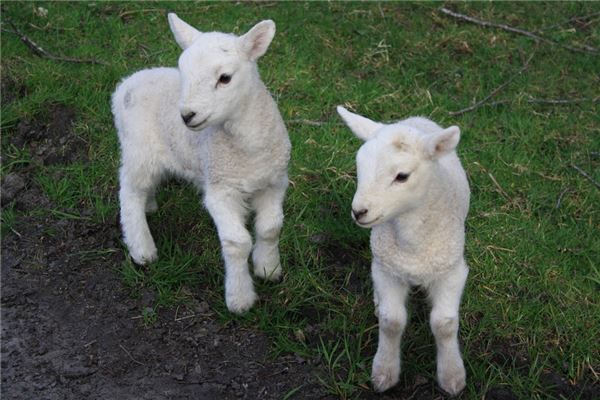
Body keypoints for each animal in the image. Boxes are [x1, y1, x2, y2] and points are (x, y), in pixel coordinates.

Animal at [111, 14, 291, 314]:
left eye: (225, 78)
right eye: (183, 72)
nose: (187, 115)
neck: (248, 147)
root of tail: (126, 82)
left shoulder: (275, 182)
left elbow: (270, 228)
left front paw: (269, 268)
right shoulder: (220, 189)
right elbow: (237, 242)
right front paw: (239, 298)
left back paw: (150, 206)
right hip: (139, 150)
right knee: (130, 193)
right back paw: (142, 249)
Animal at [337, 106, 470, 395]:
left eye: (402, 176)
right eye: (359, 167)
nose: (359, 211)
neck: (412, 243)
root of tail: (413, 119)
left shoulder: (452, 270)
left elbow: (444, 324)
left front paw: (452, 376)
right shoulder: (387, 269)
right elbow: (392, 321)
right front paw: (384, 372)